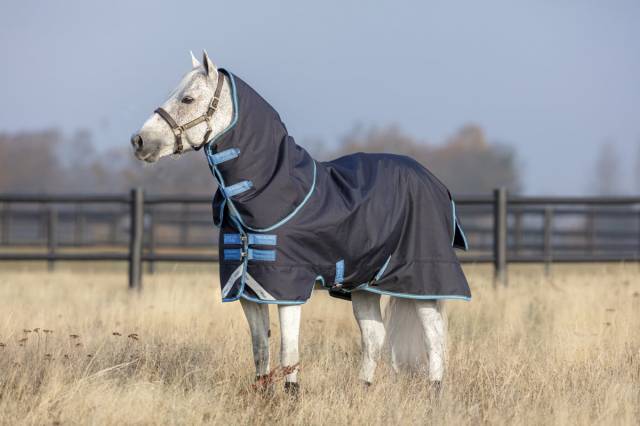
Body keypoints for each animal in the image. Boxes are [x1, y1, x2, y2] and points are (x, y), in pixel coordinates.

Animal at [131, 51, 471, 394]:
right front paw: (263, 394)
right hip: (365, 285)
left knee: (434, 337)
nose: (139, 141)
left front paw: (291, 396)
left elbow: (288, 352)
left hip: (424, 281)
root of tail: (435, 183)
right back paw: (364, 389)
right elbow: (260, 348)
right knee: (374, 337)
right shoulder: (248, 290)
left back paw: (435, 391)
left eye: (187, 99)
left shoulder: (287, 289)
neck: (274, 191)